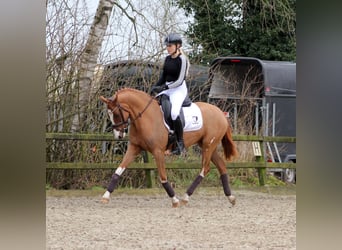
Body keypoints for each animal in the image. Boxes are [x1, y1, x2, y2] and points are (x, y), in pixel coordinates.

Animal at [99, 88, 238, 207]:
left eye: (116, 114)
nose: (118, 135)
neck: (146, 117)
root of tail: (220, 113)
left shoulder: (158, 151)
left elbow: (163, 177)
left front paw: (174, 200)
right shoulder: (134, 148)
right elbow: (118, 171)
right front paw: (105, 196)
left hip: (208, 145)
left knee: (205, 168)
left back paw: (185, 198)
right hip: (207, 145)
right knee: (221, 166)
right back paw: (230, 197)